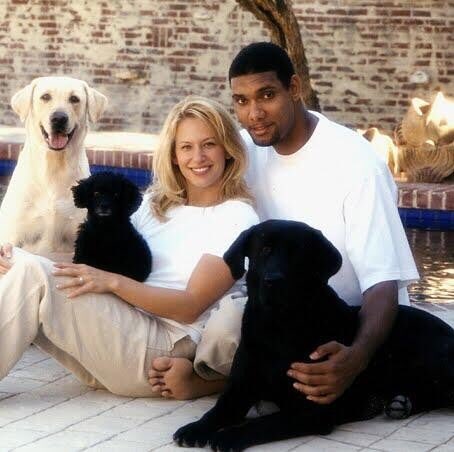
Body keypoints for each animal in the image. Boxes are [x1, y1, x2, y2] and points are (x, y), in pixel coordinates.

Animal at [174, 218, 454, 448]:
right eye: (264, 250)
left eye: (297, 255)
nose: (273, 281)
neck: (278, 325)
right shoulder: (240, 388)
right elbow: (218, 410)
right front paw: (196, 428)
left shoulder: (311, 408)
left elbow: (261, 423)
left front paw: (228, 436)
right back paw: (398, 403)